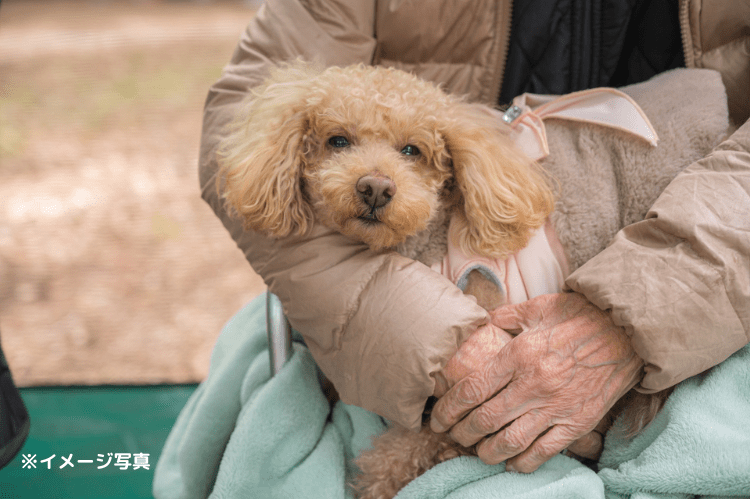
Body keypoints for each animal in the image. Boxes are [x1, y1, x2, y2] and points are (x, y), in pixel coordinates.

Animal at [216, 62, 668, 500]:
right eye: (338, 141)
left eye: (411, 150)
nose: (375, 188)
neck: (427, 245)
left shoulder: (484, 408)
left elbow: (412, 448)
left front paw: (376, 484)